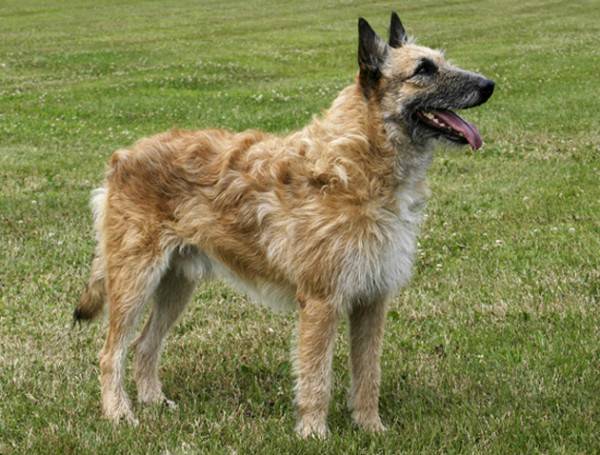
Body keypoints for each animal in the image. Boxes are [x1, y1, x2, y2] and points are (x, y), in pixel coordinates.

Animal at [74, 12, 494, 438]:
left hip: (176, 284)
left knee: (144, 345)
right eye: (424, 70)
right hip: (135, 280)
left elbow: (368, 374)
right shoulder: (321, 302)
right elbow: (316, 377)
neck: (359, 162)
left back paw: (153, 401)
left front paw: (370, 427)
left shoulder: (372, 300)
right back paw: (119, 413)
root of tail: (122, 156)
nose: (489, 85)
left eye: (441, 60)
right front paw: (314, 433)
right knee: (111, 353)